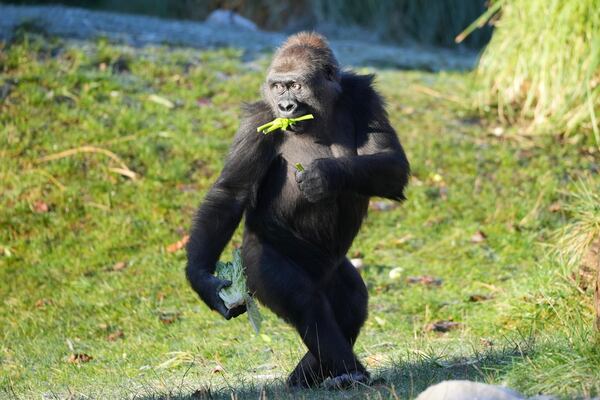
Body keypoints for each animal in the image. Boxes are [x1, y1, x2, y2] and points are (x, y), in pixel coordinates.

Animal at [185, 32, 410, 390]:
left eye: (295, 85)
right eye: (278, 87)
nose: (286, 107)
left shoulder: (365, 96)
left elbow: (392, 163)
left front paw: (326, 175)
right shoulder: (258, 121)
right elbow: (230, 194)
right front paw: (202, 279)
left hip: (329, 270)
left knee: (350, 306)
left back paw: (310, 374)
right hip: (258, 258)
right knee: (307, 301)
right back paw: (347, 371)